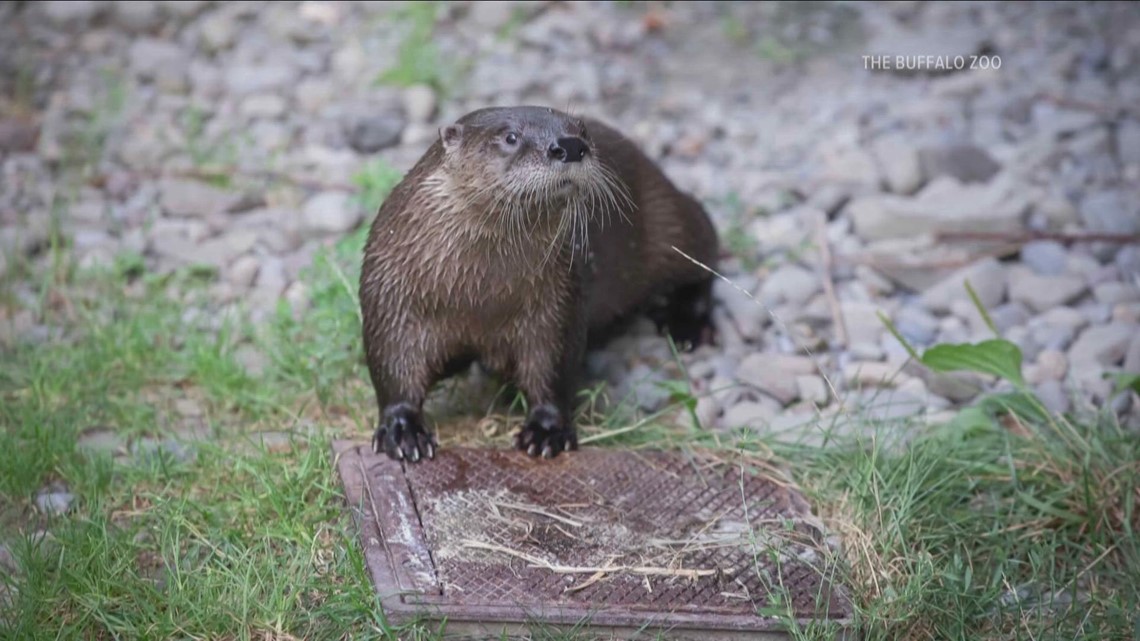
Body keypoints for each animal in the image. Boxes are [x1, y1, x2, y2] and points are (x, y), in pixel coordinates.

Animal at [359, 106, 719, 462]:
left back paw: (686, 325)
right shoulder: (392, 295)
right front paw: (402, 430)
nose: (571, 146)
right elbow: (393, 365)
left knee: (702, 242)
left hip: (666, 221)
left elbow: (553, 367)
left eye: (582, 131)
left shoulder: (559, 303)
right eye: (510, 137)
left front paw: (547, 430)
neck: (478, 298)